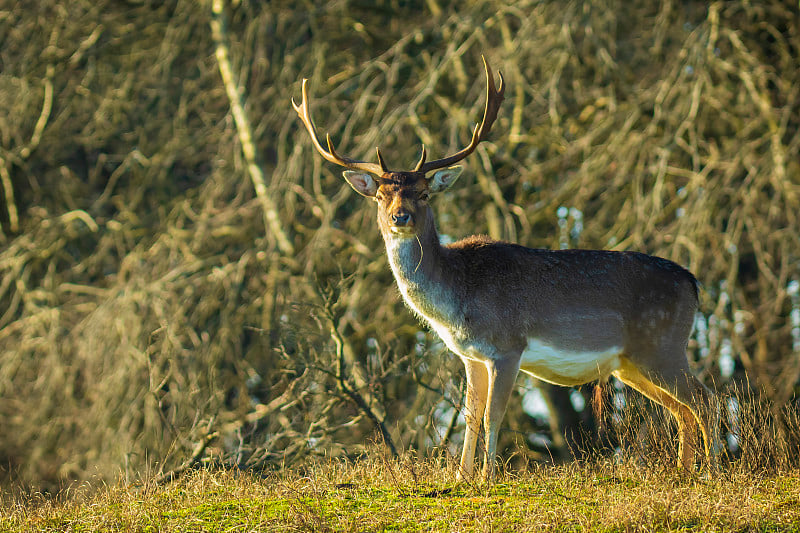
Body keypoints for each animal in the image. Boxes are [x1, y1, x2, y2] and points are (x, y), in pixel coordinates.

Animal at [292, 56, 720, 480]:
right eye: (380, 195)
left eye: (424, 193)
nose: (401, 217)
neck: (457, 299)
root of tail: (693, 282)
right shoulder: (471, 356)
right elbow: (470, 416)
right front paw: (461, 478)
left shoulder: (508, 346)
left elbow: (493, 417)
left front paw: (488, 477)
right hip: (630, 362)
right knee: (683, 408)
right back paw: (684, 473)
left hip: (661, 343)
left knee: (706, 398)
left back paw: (714, 472)